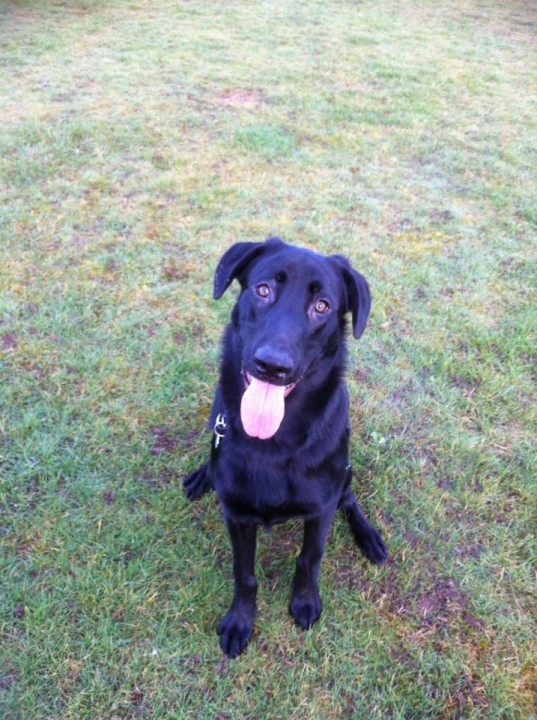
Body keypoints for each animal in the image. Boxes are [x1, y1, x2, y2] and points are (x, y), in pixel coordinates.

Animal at [183, 238, 386, 660]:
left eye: (322, 306)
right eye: (263, 290)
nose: (272, 366)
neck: (274, 443)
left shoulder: (321, 509)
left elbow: (309, 558)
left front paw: (305, 601)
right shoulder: (237, 516)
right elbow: (244, 574)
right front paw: (240, 621)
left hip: (345, 471)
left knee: (350, 499)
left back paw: (369, 537)